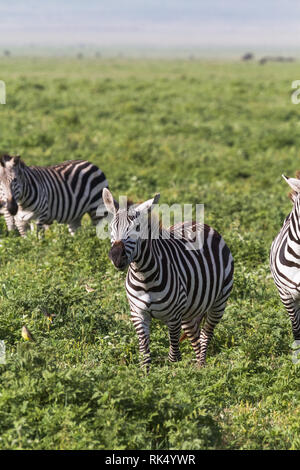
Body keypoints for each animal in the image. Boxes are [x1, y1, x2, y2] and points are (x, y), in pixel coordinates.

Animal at [103, 187, 234, 370]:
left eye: (137, 228)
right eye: (111, 228)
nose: (116, 257)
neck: (144, 277)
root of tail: (199, 223)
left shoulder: (174, 316)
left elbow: (174, 356)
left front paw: (172, 376)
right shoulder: (138, 314)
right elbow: (145, 355)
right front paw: (145, 374)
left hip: (219, 302)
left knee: (205, 334)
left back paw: (201, 368)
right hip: (190, 310)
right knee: (195, 336)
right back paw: (198, 368)